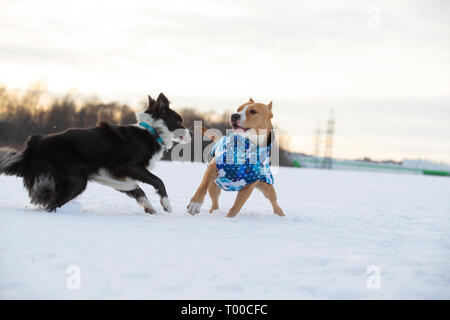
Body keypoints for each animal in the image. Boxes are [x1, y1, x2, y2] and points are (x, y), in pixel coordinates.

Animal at [0, 92, 191, 212]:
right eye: (179, 121)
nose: (191, 132)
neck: (151, 131)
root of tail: (31, 148)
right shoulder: (128, 166)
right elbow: (158, 181)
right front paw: (166, 204)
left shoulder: (116, 175)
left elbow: (136, 189)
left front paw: (149, 207)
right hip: (76, 177)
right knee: (53, 204)